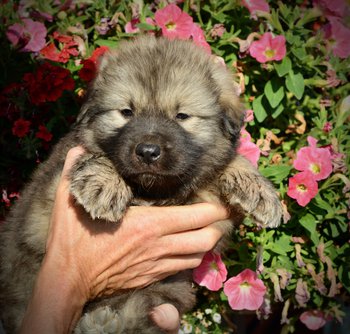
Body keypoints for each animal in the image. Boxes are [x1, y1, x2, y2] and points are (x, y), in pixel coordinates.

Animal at [0, 35, 282, 332]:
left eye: (181, 116)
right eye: (126, 112)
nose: (147, 152)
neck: (150, 191)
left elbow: (226, 163)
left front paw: (260, 192)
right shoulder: (48, 196)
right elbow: (96, 156)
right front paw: (105, 185)